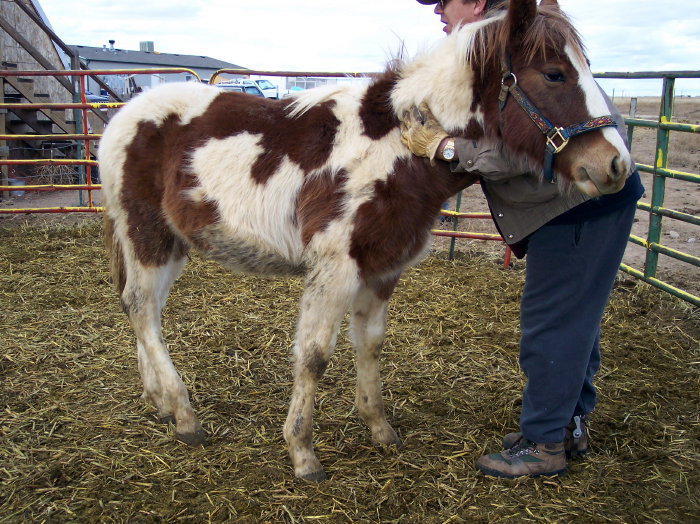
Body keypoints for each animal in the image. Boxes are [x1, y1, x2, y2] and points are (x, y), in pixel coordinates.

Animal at [99, 0, 631, 481]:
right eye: (554, 74)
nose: (615, 164)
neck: (395, 147)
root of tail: (123, 116)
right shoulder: (336, 267)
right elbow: (314, 355)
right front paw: (303, 453)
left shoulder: (382, 267)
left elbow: (370, 344)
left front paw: (379, 428)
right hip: (147, 234)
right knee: (141, 308)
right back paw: (185, 415)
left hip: (169, 244)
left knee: (142, 308)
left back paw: (159, 400)